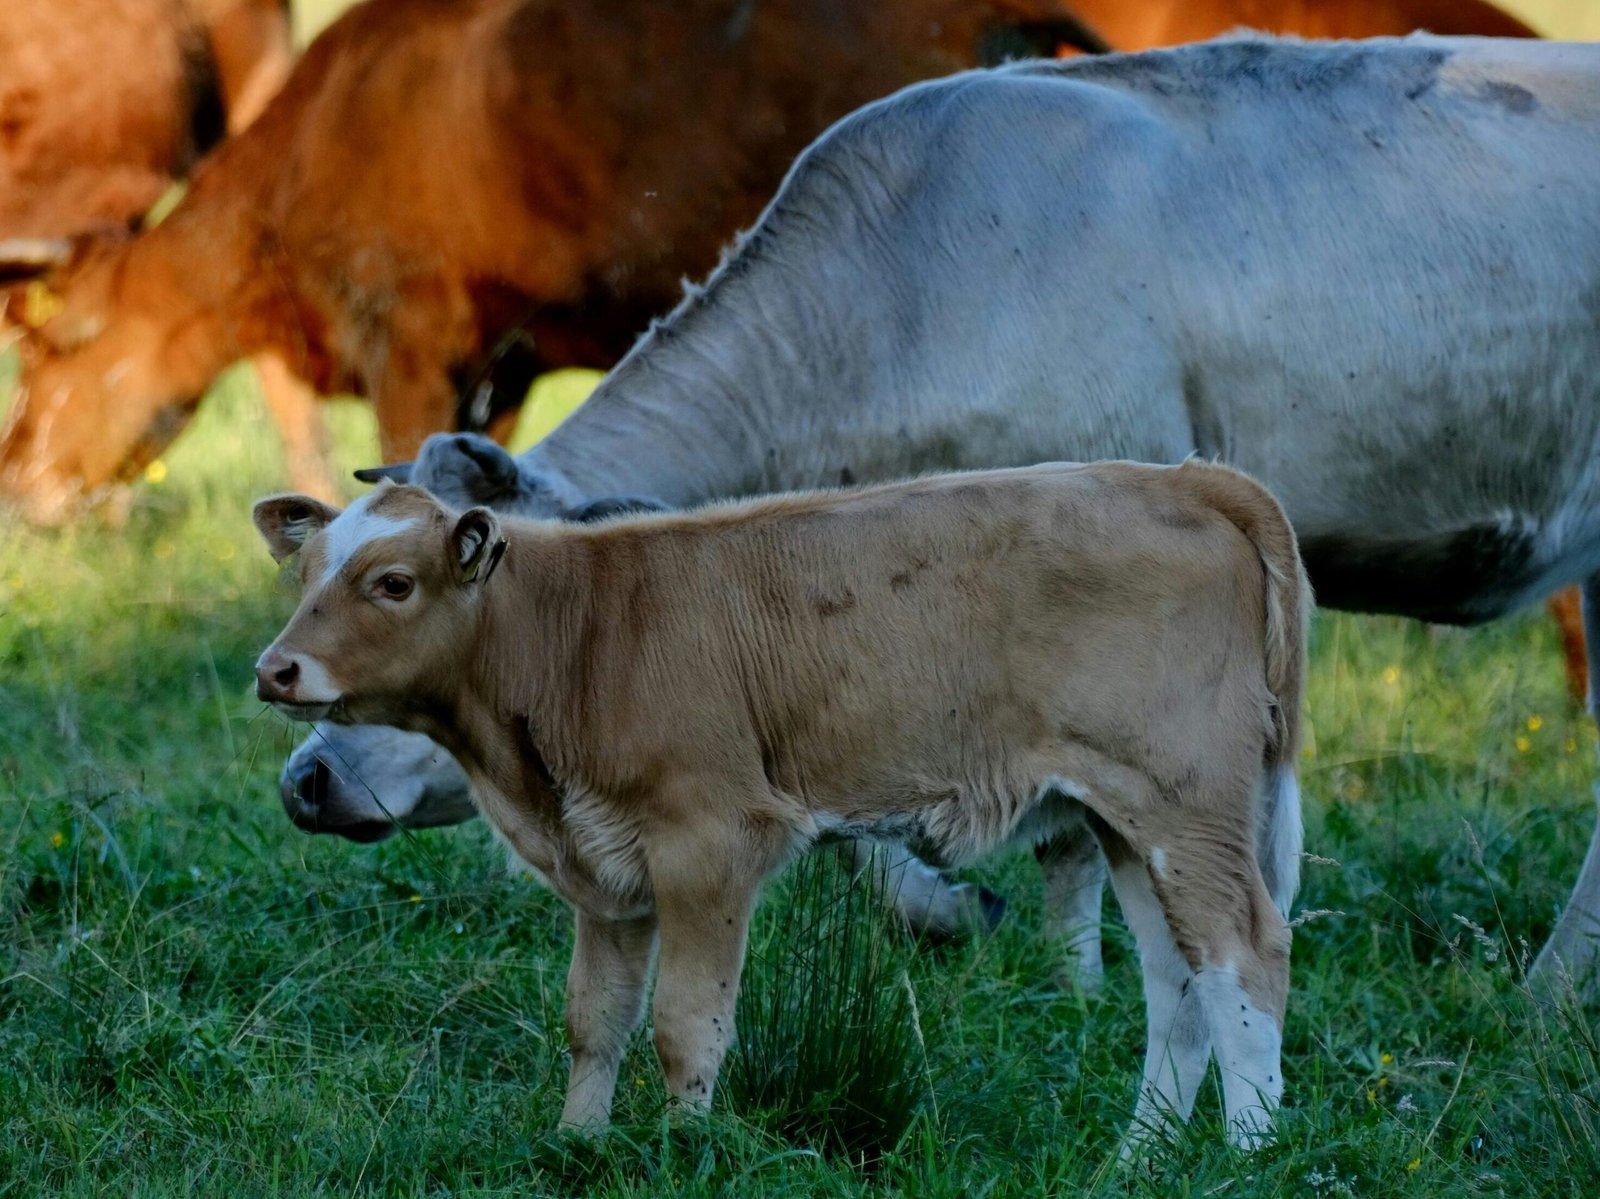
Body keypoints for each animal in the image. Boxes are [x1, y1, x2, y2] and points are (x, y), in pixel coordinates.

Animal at [251, 461, 1309, 1145]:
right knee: (1179, 980)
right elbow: (595, 1018)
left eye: (393, 582)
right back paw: (1139, 1158)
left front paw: (681, 1151)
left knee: (1246, 954)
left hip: (1183, 804)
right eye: (302, 576)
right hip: (1127, 816)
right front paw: (577, 1144)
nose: (275, 668)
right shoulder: (605, 873)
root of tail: (1185, 476)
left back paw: (1244, 1158)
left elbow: (686, 1025)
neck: (580, 633)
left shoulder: (710, 843)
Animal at [309, 37, 1600, 996]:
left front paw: (1076, 986)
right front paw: (950, 911)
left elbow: (1071, 828)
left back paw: (1546, 991)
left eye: (431, 590)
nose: (305, 780)